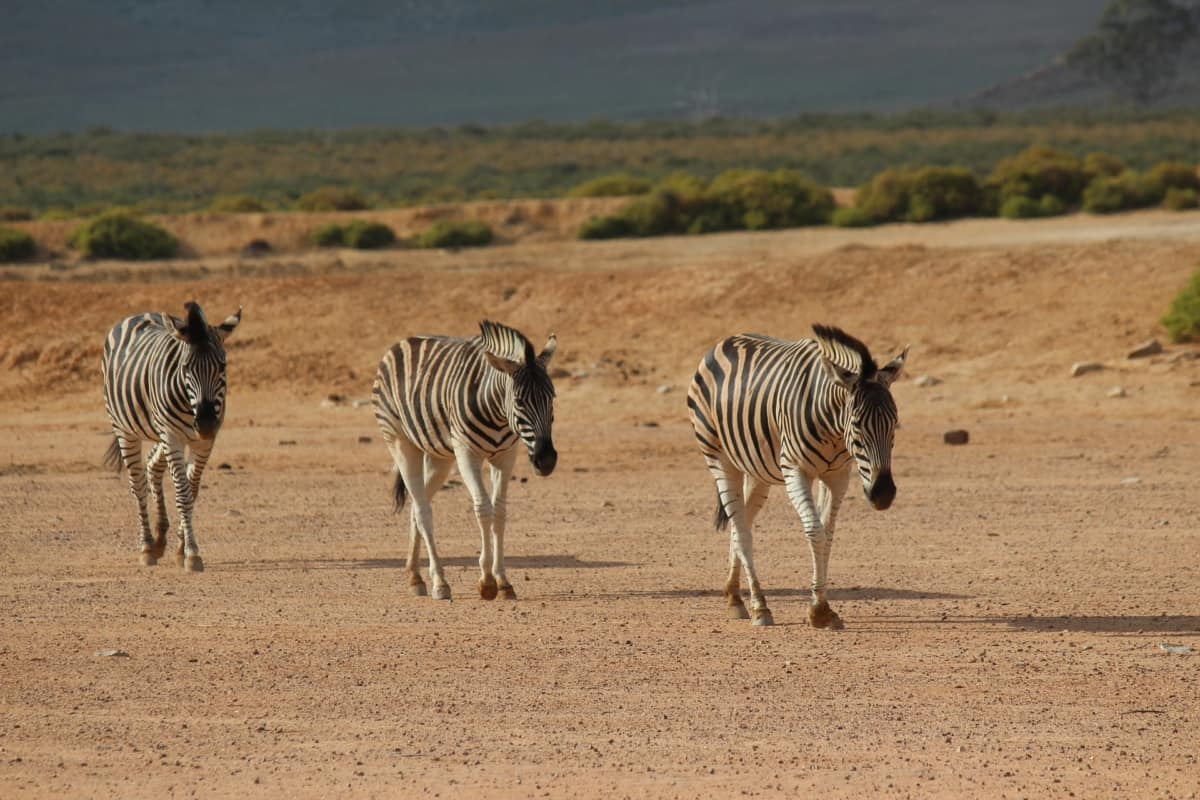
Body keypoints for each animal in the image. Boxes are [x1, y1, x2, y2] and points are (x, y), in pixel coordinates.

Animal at [103, 299, 243, 568]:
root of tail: (138, 314)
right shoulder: (173, 436)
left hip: (162, 432)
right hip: (125, 429)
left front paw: (180, 547)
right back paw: (147, 546)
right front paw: (191, 552)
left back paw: (159, 540)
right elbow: (182, 493)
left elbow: (193, 489)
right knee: (137, 484)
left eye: (222, 366)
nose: (206, 424)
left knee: (152, 465)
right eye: (186, 368)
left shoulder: (203, 443)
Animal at [372, 319, 559, 599]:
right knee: (424, 511)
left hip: (440, 458)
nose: (546, 461)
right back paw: (440, 582)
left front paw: (503, 581)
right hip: (400, 442)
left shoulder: (506, 456)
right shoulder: (466, 453)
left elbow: (500, 512)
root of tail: (403, 342)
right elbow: (483, 509)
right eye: (518, 401)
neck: (497, 413)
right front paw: (487, 581)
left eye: (552, 398)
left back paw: (415, 577)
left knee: (418, 505)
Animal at [691, 321, 902, 628]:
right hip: (718, 457)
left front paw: (822, 607)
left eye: (895, 424)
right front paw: (819, 610)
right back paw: (759, 606)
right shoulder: (795, 470)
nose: (883, 494)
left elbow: (827, 535)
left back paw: (734, 597)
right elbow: (814, 531)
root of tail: (725, 341)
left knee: (740, 521)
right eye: (857, 425)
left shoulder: (837, 475)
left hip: (757, 470)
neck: (833, 429)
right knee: (742, 530)